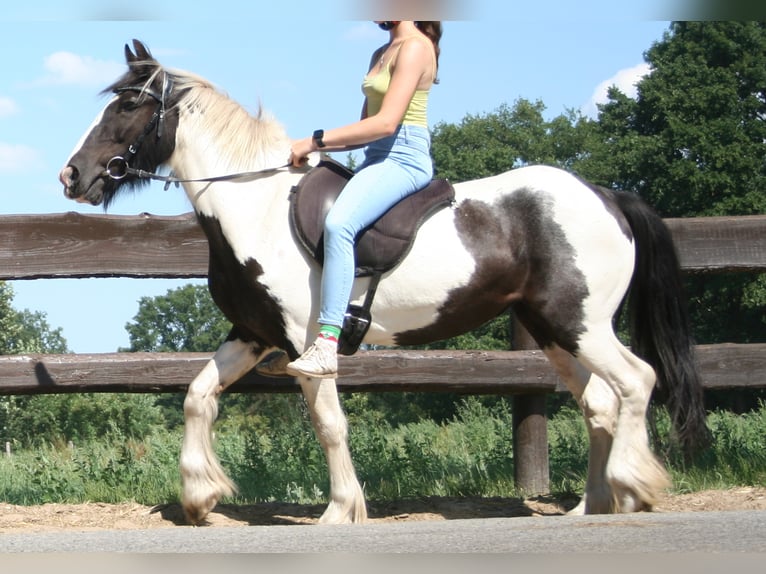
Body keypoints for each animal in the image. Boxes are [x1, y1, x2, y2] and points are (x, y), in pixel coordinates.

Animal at [57, 39, 712, 528]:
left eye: (126, 106)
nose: (72, 175)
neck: (255, 205)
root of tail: (608, 196)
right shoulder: (251, 332)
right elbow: (198, 396)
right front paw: (199, 497)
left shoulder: (304, 344)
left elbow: (329, 425)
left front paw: (340, 510)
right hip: (554, 330)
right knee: (601, 401)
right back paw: (590, 505)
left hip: (582, 324)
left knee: (637, 381)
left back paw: (633, 487)